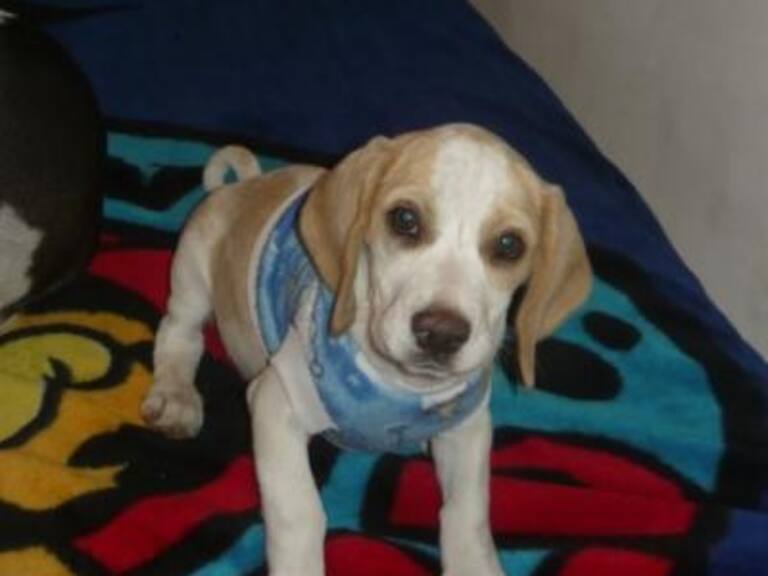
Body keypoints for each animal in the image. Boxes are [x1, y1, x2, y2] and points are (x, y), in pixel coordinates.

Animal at [142, 123, 591, 575]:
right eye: (405, 220)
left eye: (509, 245)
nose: (441, 333)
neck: (403, 387)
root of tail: (249, 183)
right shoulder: (276, 400)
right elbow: (300, 511)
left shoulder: (467, 427)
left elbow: (467, 513)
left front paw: (474, 565)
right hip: (193, 273)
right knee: (179, 335)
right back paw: (176, 397)